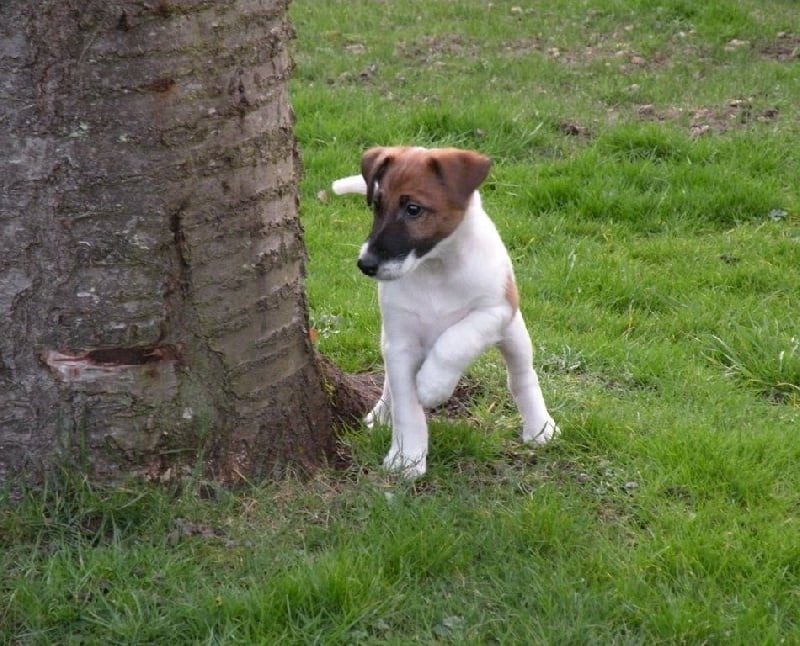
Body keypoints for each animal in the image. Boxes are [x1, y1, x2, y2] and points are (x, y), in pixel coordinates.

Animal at [332, 146, 558, 477]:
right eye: (376, 205)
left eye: (413, 209)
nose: (366, 264)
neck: (435, 268)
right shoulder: (400, 344)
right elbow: (407, 407)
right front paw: (407, 458)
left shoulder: (496, 309)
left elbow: (456, 339)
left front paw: (433, 385)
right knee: (389, 385)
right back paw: (382, 414)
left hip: (515, 335)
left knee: (521, 378)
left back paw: (540, 427)